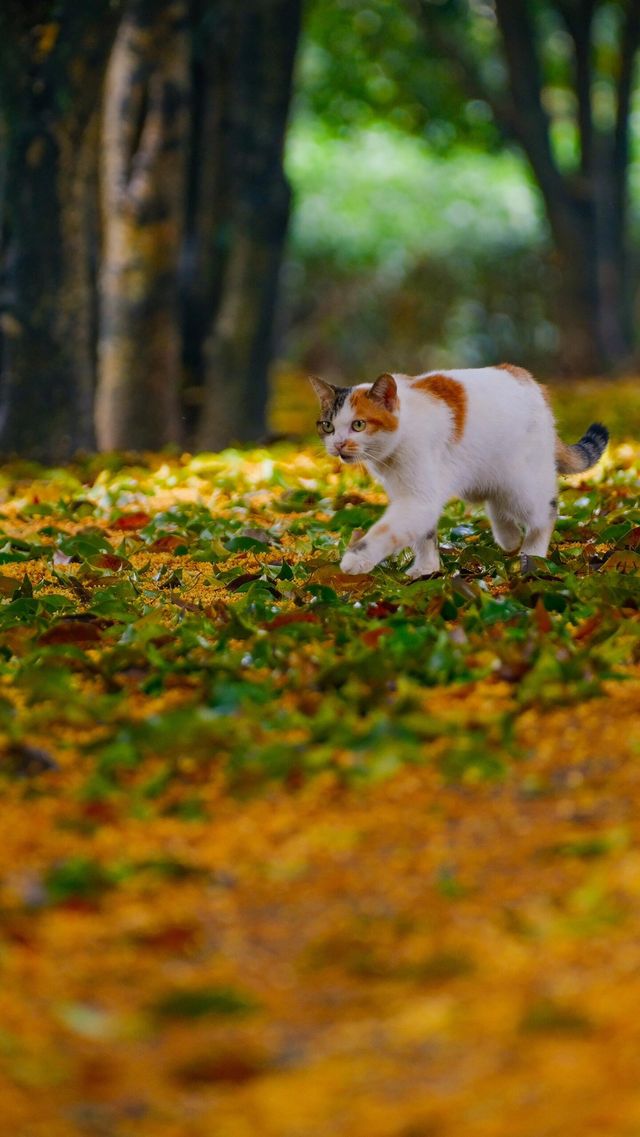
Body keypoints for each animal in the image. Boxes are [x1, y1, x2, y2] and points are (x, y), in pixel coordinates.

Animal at [311, 366, 609, 577]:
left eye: (358, 425)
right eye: (327, 426)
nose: (338, 444)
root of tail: (527, 379)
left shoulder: (418, 499)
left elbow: (387, 530)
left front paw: (356, 559)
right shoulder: (411, 495)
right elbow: (424, 535)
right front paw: (427, 569)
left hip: (523, 483)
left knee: (545, 511)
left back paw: (532, 554)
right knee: (497, 501)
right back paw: (509, 537)